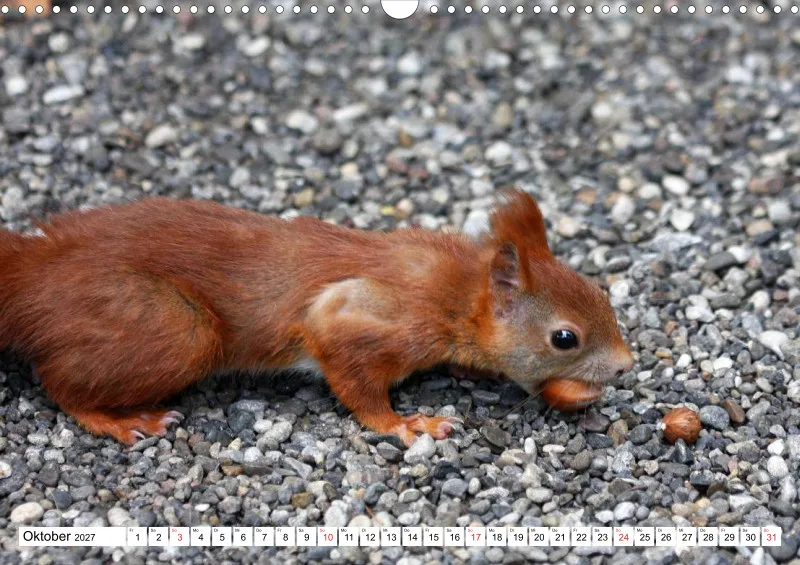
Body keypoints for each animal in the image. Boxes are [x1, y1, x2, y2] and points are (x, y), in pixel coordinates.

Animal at [0, 190, 633, 447]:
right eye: (565, 338)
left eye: (602, 295)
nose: (627, 366)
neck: (453, 290)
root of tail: (35, 274)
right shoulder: (361, 317)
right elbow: (354, 379)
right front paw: (407, 425)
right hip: (175, 330)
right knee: (58, 382)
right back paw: (120, 420)